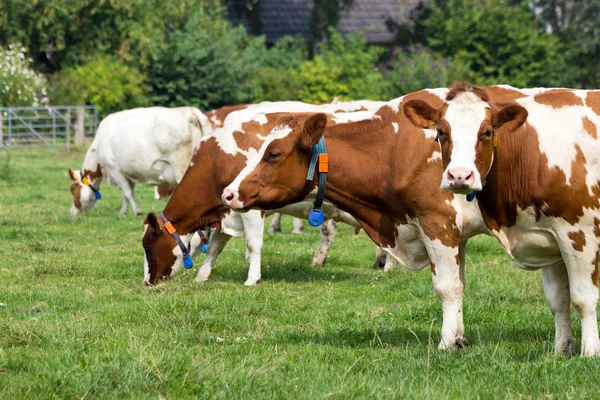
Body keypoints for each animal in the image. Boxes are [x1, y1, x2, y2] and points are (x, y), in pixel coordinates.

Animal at [67, 106, 212, 216]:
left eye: (73, 189)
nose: (72, 212)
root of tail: (190, 110)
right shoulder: (127, 172)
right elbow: (126, 194)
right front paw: (123, 212)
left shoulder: (114, 169)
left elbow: (127, 192)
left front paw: (137, 211)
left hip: (182, 167)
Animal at [144, 100, 392, 288]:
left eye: (147, 244)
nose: (147, 282)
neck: (217, 159)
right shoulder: (228, 210)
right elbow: (215, 246)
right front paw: (202, 276)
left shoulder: (249, 207)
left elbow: (253, 244)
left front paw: (252, 279)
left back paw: (389, 267)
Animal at [400, 83, 600, 356]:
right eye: (441, 132)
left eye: (486, 132)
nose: (459, 176)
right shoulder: (548, 237)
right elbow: (558, 299)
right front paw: (561, 350)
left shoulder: (579, 232)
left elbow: (583, 298)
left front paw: (590, 352)